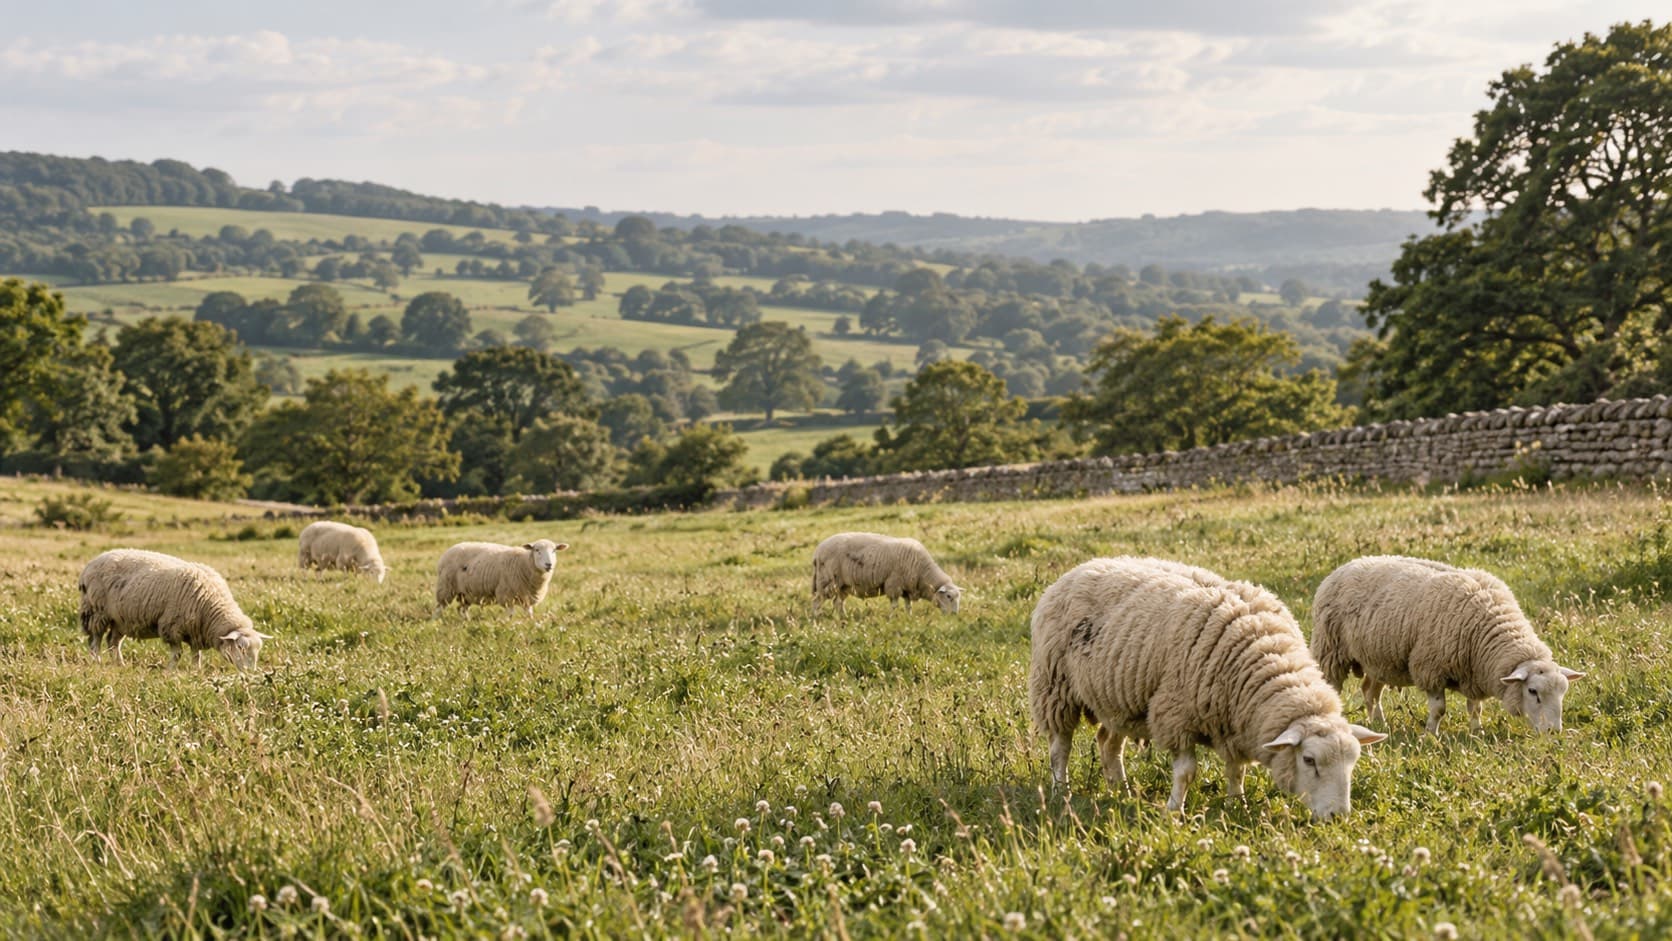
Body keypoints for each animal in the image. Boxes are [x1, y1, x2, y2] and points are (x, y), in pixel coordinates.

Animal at [78, 548, 269, 671]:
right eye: (241, 648)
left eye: (258, 650)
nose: (251, 673)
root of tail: (89, 565)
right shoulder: (171, 626)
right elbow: (177, 654)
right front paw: (170, 671)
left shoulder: (195, 631)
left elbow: (196, 655)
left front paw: (196, 671)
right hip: (96, 611)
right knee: (95, 640)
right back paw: (97, 661)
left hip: (120, 619)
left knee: (113, 642)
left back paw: (120, 664)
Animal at [434, 539, 569, 616]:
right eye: (537, 550)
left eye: (554, 550)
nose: (549, 564)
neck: (523, 563)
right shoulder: (506, 595)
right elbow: (510, 615)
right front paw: (509, 627)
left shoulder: (527, 598)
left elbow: (529, 615)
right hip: (445, 588)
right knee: (439, 608)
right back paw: (435, 623)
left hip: (466, 593)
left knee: (461, 609)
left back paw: (465, 623)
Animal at [811, 532, 962, 618]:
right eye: (948, 596)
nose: (955, 615)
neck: (923, 572)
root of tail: (817, 550)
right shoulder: (894, 584)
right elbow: (894, 605)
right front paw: (891, 618)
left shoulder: (906, 588)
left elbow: (908, 605)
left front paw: (909, 618)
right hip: (826, 581)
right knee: (817, 601)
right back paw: (816, 619)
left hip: (843, 586)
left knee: (838, 602)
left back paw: (843, 618)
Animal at [1029, 557, 1385, 820]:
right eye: (1309, 760)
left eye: (1353, 761)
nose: (1338, 816)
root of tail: (1079, 568)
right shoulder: (1176, 714)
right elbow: (1186, 772)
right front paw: (1174, 811)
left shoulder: (1236, 724)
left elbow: (1236, 771)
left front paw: (1237, 804)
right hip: (1055, 687)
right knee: (1060, 747)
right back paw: (1061, 790)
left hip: (1117, 696)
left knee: (1108, 743)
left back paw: (1121, 789)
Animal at [1310, 555, 1583, 735]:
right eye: (1533, 691)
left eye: (1563, 692)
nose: (1554, 731)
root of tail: (1346, 565)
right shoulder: (1430, 668)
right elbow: (1439, 709)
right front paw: (1430, 735)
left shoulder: (1473, 671)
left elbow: (1475, 707)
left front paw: (1477, 732)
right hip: (1331, 652)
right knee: (1332, 687)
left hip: (1378, 658)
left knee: (1369, 691)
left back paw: (1379, 724)